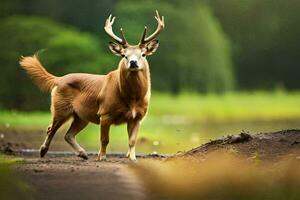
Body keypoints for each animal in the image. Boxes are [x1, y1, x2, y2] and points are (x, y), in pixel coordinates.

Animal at [19, 10, 164, 161]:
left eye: (143, 54)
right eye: (124, 55)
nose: (133, 63)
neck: (131, 98)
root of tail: (58, 79)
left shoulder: (138, 117)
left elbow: (132, 140)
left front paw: (132, 158)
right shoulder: (105, 113)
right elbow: (104, 139)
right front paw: (102, 157)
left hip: (81, 116)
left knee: (68, 134)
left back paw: (82, 153)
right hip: (60, 108)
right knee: (51, 129)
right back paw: (43, 151)